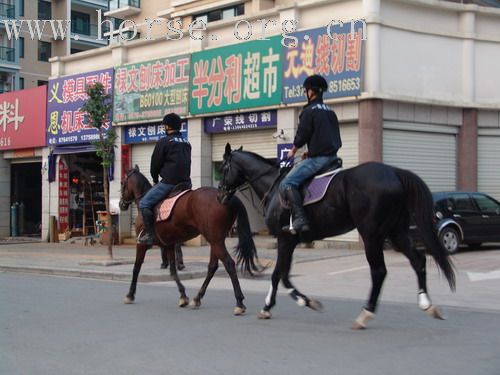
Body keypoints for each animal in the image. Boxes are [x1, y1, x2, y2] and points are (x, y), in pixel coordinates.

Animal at [119, 166, 260, 316]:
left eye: (122, 183)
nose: (121, 204)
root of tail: (226, 197)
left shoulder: (141, 244)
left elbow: (136, 268)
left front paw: (130, 294)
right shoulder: (169, 245)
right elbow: (173, 271)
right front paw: (183, 296)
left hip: (215, 241)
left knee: (229, 264)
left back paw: (239, 302)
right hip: (216, 241)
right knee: (212, 267)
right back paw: (197, 298)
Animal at [217, 144, 456, 328]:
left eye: (224, 167)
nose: (220, 194)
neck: (274, 188)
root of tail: (394, 172)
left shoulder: (285, 239)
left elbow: (279, 275)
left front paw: (289, 303)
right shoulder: (291, 241)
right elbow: (282, 275)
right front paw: (289, 303)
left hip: (371, 234)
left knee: (379, 271)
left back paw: (365, 314)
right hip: (397, 231)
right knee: (418, 260)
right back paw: (427, 304)